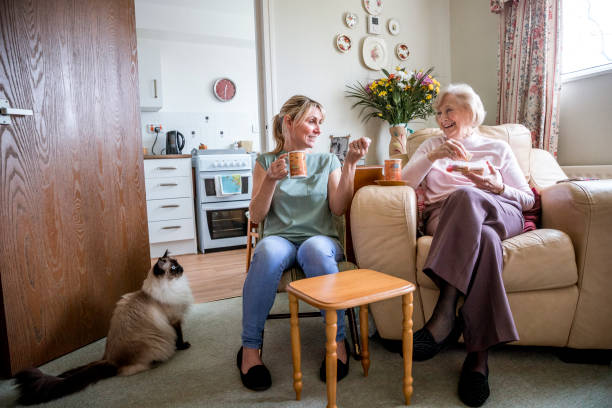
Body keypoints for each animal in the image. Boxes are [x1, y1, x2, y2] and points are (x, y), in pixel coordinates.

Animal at [14, 249, 191, 404]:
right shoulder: (174, 320)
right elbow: (179, 336)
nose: (182, 269)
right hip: (154, 345)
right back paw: (157, 361)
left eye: (178, 263)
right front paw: (183, 346)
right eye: (173, 268)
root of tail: (110, 360)